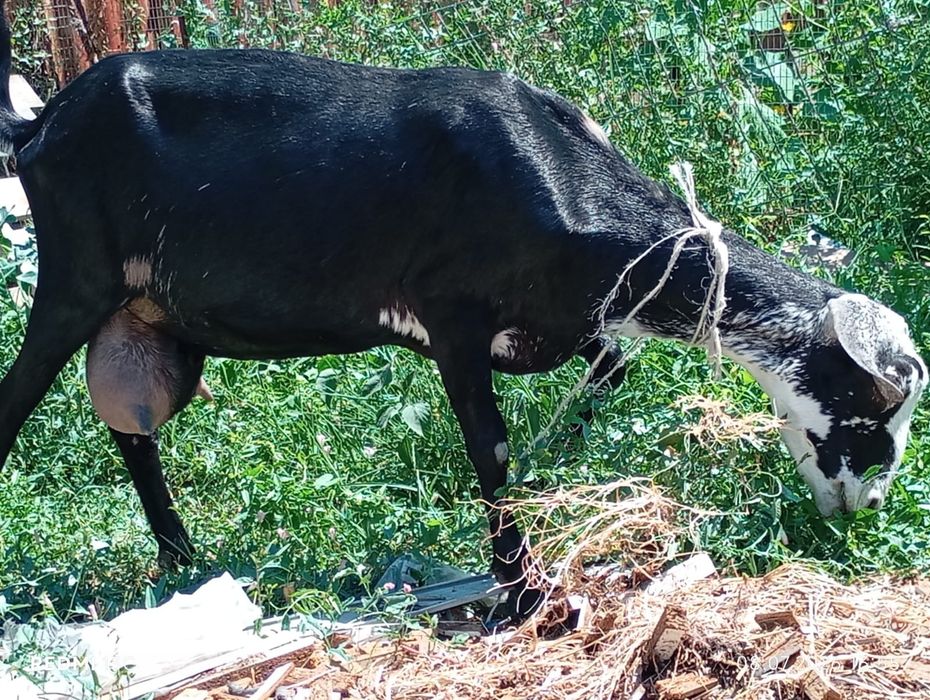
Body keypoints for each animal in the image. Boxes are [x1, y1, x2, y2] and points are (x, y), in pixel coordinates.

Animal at [0, 5, 924, 616]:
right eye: (870, 408)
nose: (868, 507)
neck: (560, 177)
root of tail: (40, 122)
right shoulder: (452, 321)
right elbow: (492, 447)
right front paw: (521, 592)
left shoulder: (569, 322)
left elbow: (608, 375)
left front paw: (559, 476)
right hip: (75, 283)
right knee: (16, 405)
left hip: (146, 319)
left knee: (132, 429)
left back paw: (182, 562)